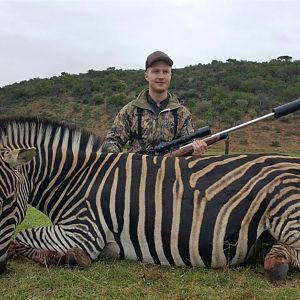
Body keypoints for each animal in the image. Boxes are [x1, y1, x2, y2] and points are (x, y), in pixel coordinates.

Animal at [0, 117, 298, 284]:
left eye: (7, 199)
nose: (0, 269)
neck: (76, 178)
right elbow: (20, 239)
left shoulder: (84, 232)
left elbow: (20, 238)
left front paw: (69, 258)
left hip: (285, 206)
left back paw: (276, 265)